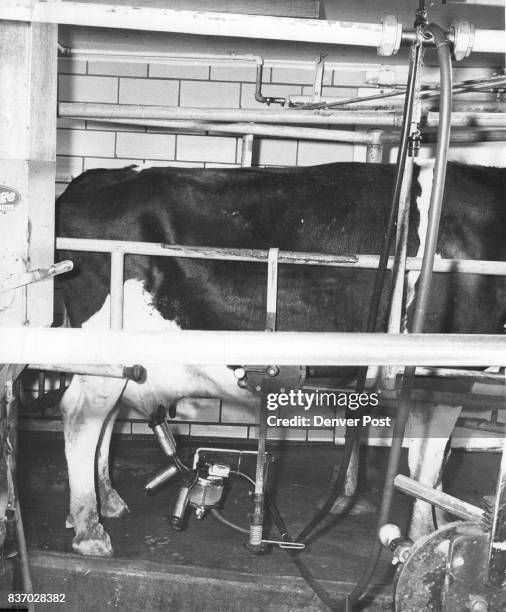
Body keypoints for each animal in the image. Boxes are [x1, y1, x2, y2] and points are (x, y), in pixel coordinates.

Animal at [56, 160, 506, 556]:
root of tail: (90, 180)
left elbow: (434, 466)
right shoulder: (442, 375)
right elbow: (426, 466)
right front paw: (428, 538)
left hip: (122, 365)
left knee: (105, 419)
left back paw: (107, 501)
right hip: (105, 349)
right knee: (81, 416)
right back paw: (90, 530)